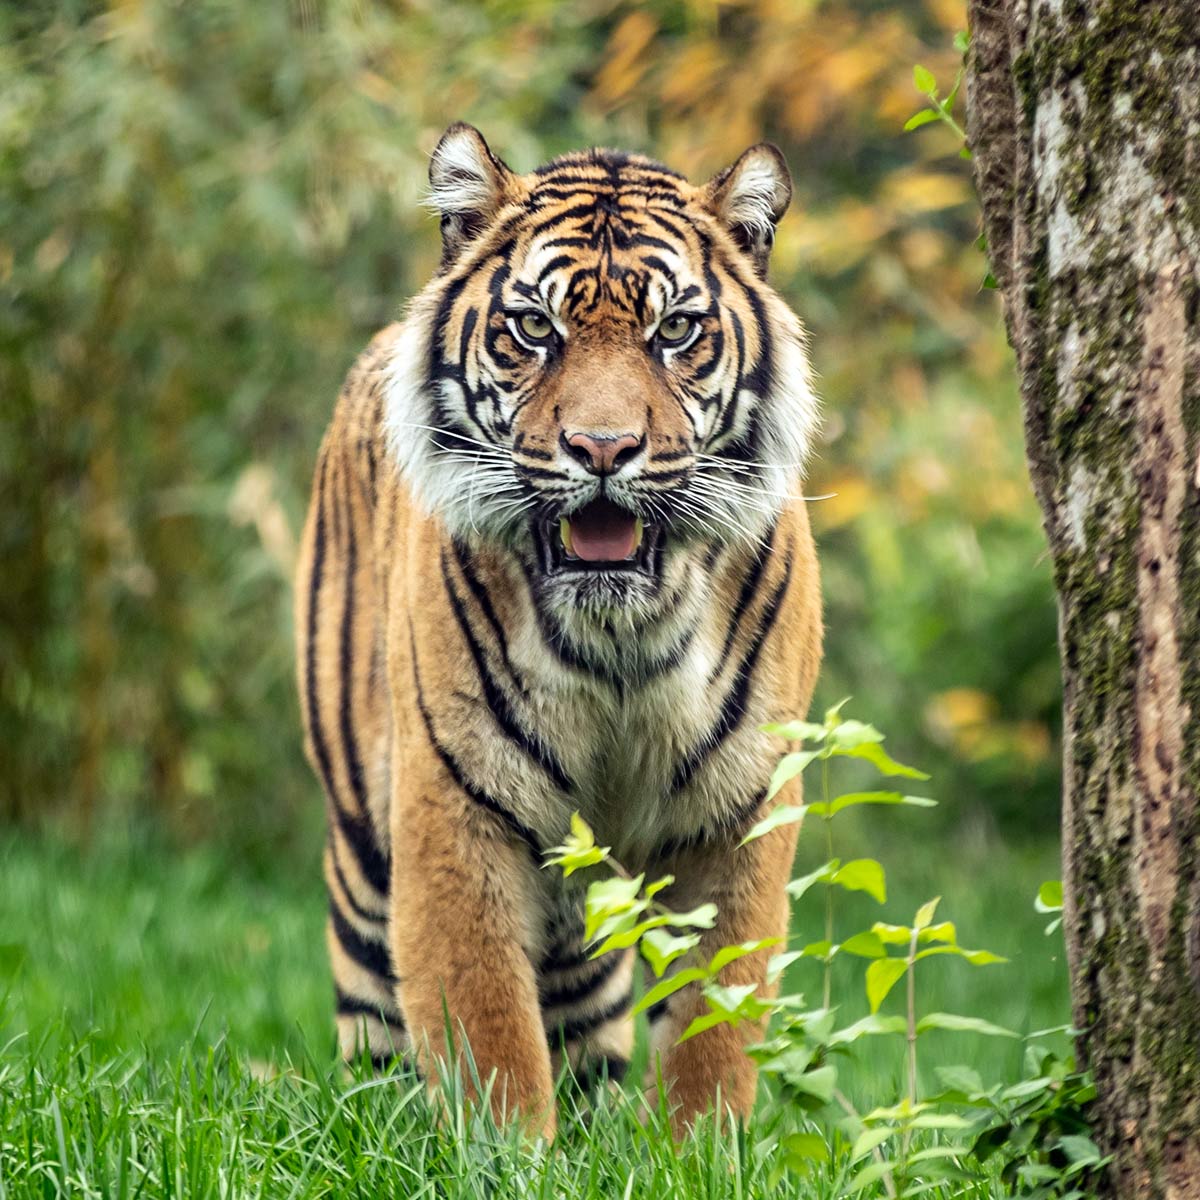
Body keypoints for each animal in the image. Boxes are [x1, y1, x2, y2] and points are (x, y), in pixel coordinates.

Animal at [295, 122, 822, 1140]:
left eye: (675, 332)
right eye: (536, 329)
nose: (603, 449)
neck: (624, 637)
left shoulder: (740, 811)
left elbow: (716, 1024)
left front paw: (697, 1151)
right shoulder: (456, 808)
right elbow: (486, 1029)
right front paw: (505, 1154)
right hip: (362, 842)